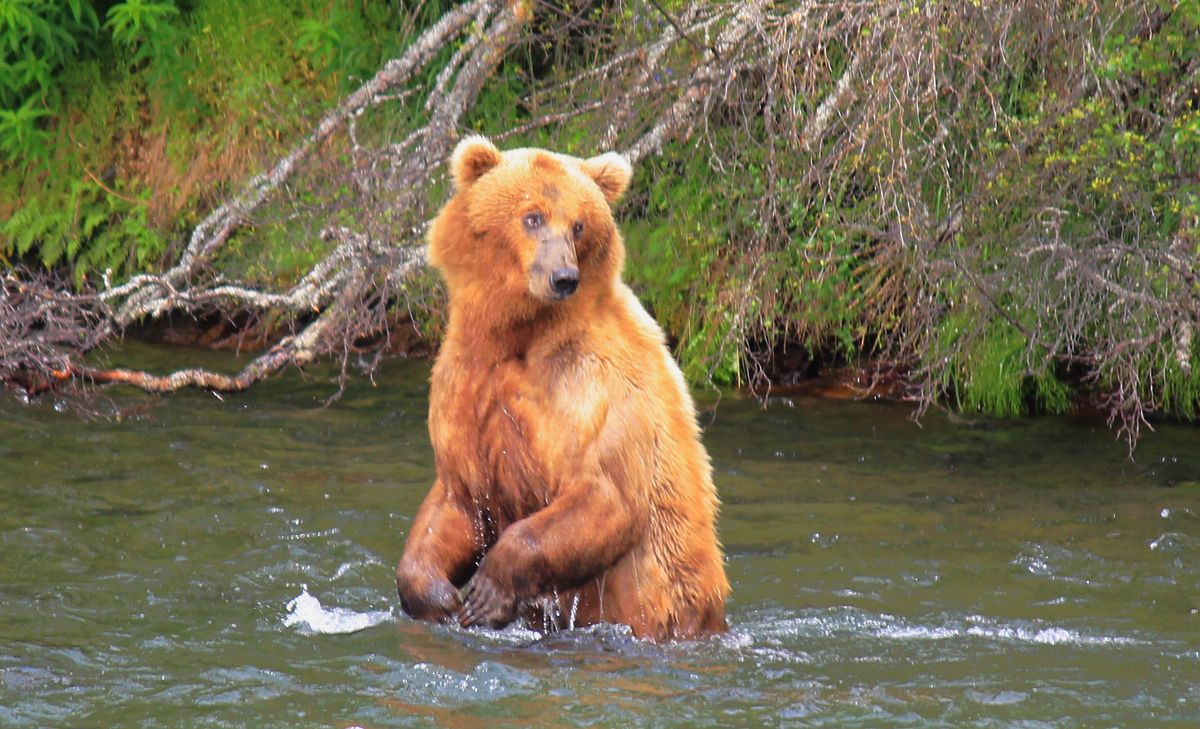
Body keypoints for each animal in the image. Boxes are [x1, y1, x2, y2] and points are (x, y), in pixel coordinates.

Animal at [396, 135, 729, 637]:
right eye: (531, 217)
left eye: (578, 225)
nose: (563, 277)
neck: (520, 332)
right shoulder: (464, 381)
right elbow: (458, 499)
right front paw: (442, 598)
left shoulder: (590, 383)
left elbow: (605, 495)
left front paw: (488, 590)